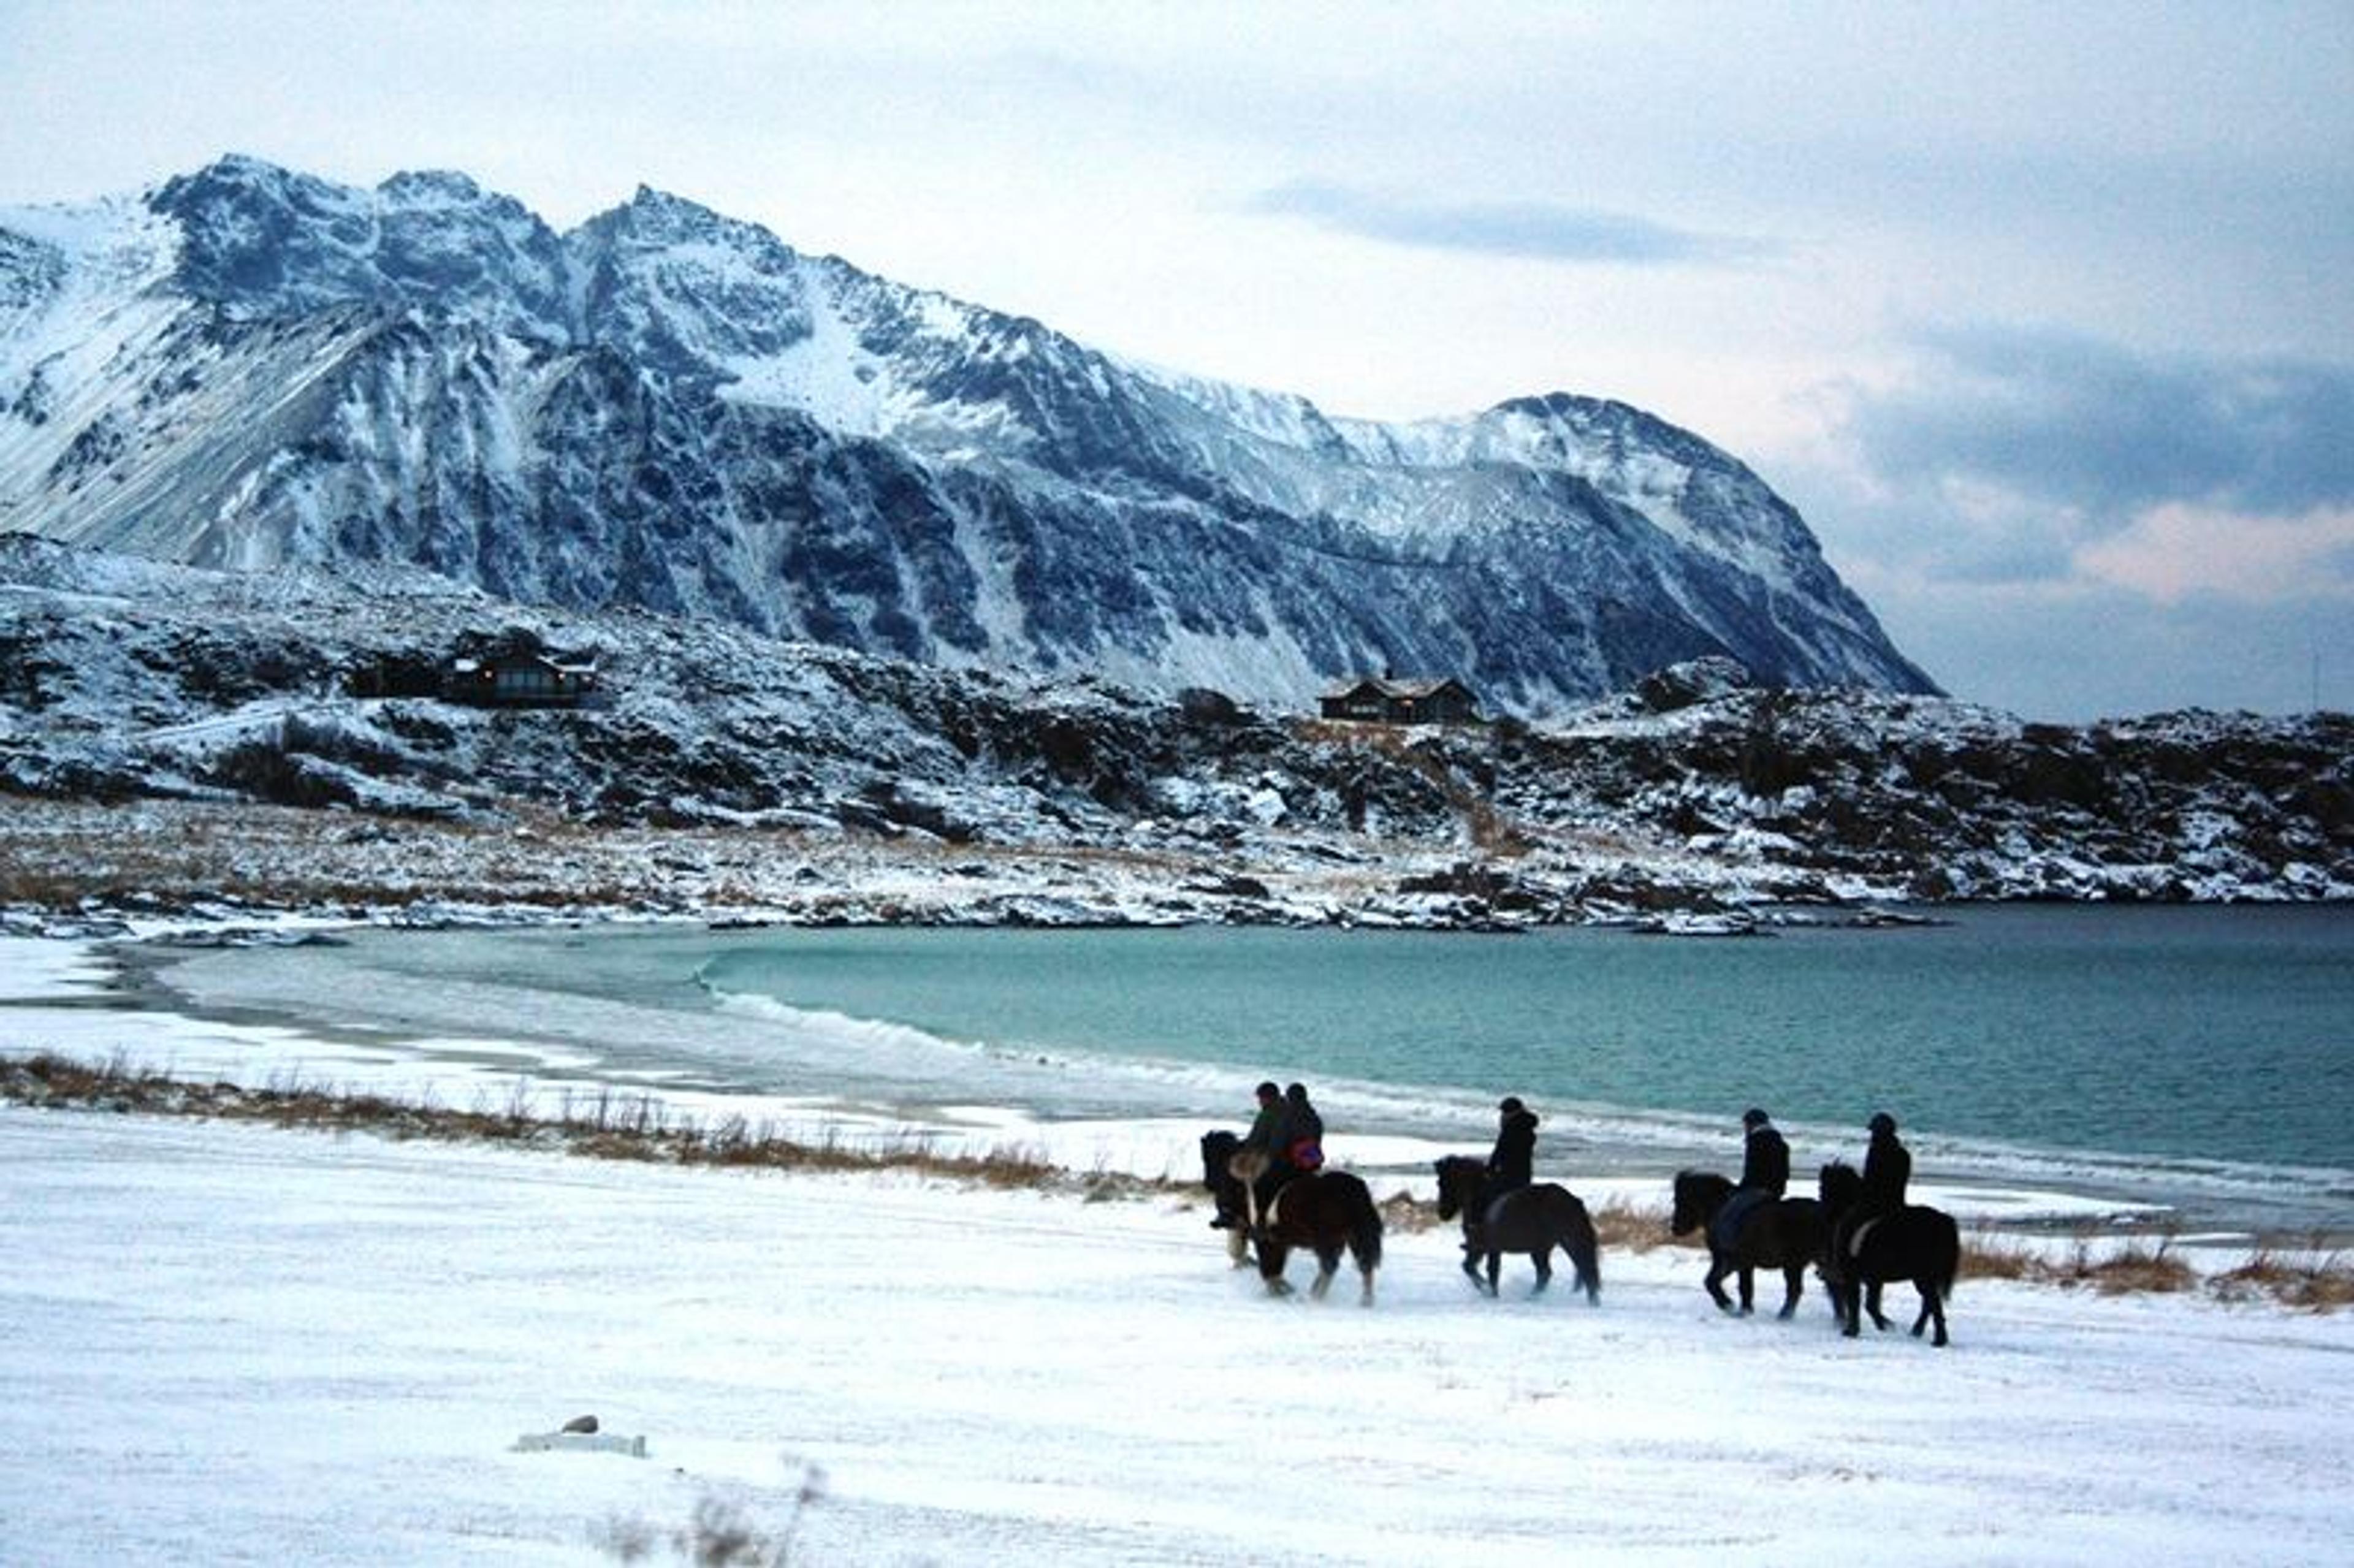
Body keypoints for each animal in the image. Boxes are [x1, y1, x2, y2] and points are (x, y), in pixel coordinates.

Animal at [1432, 1155, 1601, 1304]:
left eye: (1443, 1183)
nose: (1442, 1213)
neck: (1484, 1201)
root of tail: (1574, 1201)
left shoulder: (1490, 1248)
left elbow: (1490, 1272)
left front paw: (1490, 1293)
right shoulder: (1479, 1248)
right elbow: (1470, 1267)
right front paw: (1487, 1291)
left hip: (1564, 1242)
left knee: (1581, 1269)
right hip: (1546, 1247)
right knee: (1551, 1273)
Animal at [1669, 1170, 1827, 1319]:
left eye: (1679, 1200)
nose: (1675, 1228)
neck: (1722, 1208)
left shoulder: (1729, 1261)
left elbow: (1713, 1282)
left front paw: (1729, 1306)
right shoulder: (1744, 1264)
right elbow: (1746, 1287)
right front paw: (1745, 1310)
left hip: (1794, 1264)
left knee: (1795, 1290)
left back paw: (1784, 1317)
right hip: (1799, 1264)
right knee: (1797, 1290)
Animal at [1816, 1161, 1958, 1347]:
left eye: (1822, 1188)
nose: (1823, 1217)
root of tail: (1944, 1221)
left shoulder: (1853, 1276)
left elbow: (1857, 1303)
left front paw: (1854, 1331)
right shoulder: (1875, 1279)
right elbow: (1871, 1305)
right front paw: (1883, 1325)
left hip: (1923, 1277)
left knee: (1933, 1303)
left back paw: (1938, 1339)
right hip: (1925, 1277)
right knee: (1929, 1303)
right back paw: (1919, 1331)